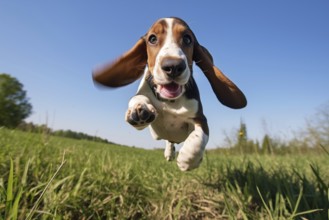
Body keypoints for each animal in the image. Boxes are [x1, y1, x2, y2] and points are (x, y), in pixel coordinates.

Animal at [92, 17, 246, 172]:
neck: (170, 101)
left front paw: (188, 159)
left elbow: (199, 136)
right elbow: (138, 98)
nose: (173, 67)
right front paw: (139, 109)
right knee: (168, 140)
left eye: (187, 39)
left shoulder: (200, 118)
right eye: (152, 39)